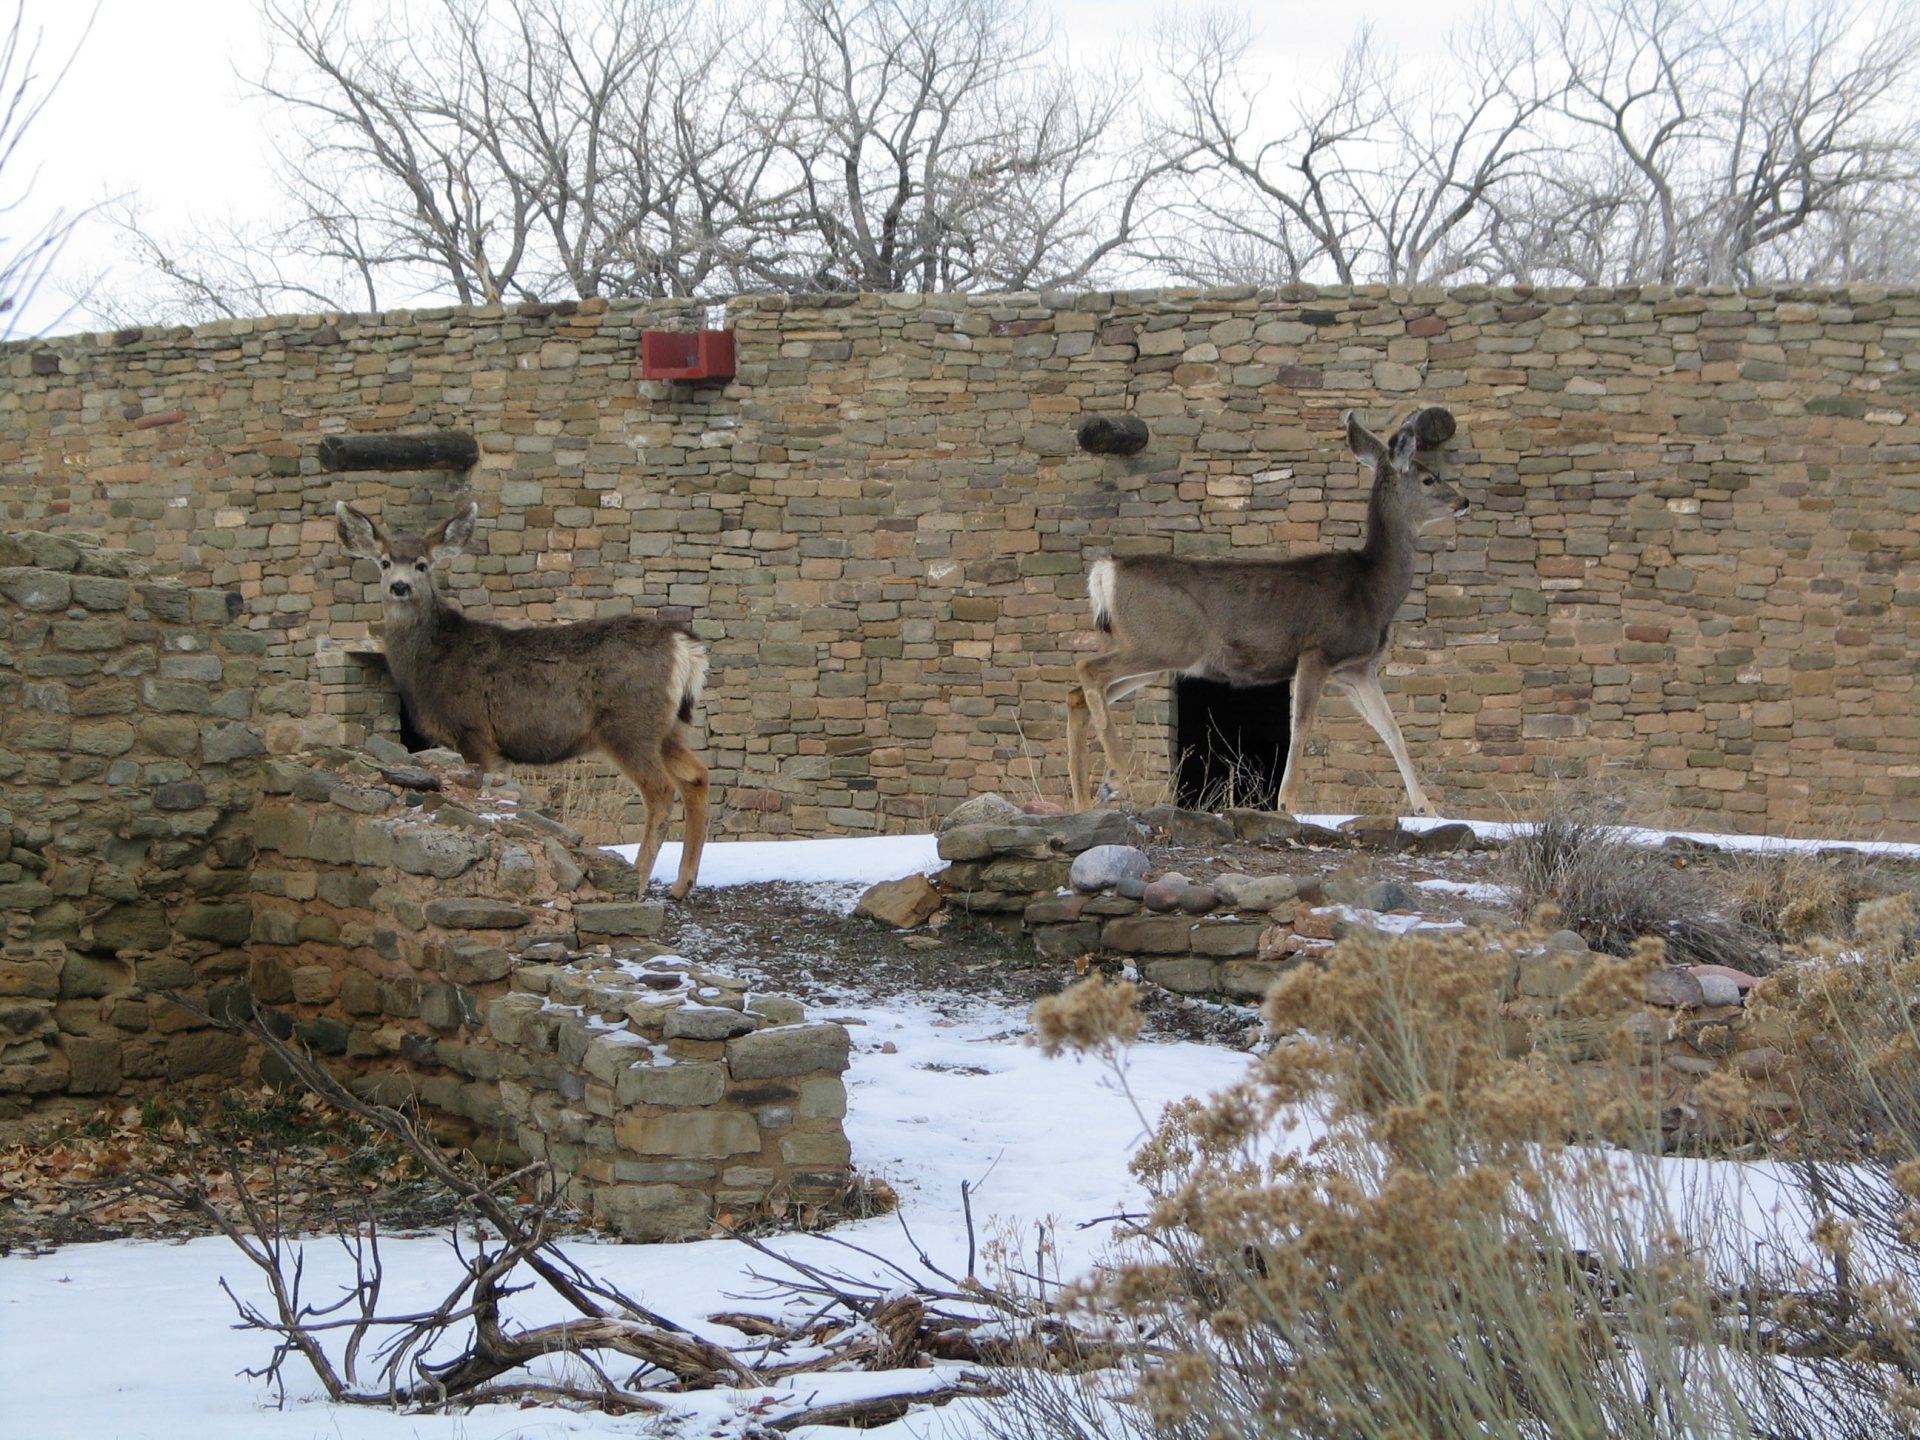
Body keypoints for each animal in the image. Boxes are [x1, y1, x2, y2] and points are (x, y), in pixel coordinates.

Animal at [337, 503, 714, 898]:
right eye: (384, 562)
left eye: (422, 564)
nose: (400, 586)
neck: (432, 662)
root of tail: (684, 646)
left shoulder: (473, 732)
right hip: (667, 727)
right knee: (697, 776)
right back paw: (682, 884)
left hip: (629, 723)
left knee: (661, 790)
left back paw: (638, 879)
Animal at [1067, 410, 1466, 829]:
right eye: (1428, 479)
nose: (1464, 500)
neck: (1372, 588)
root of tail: (1106, 570)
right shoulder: (1317, 651)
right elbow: (1301, 725)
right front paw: (1287, 802)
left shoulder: (1355, 669)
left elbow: (1392, 730)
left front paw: (1427, 808)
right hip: (1164, 642)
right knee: (1087, 669)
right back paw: (1113, 776)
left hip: (1157, 654)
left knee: (1077, 694)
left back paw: (1083, 799)